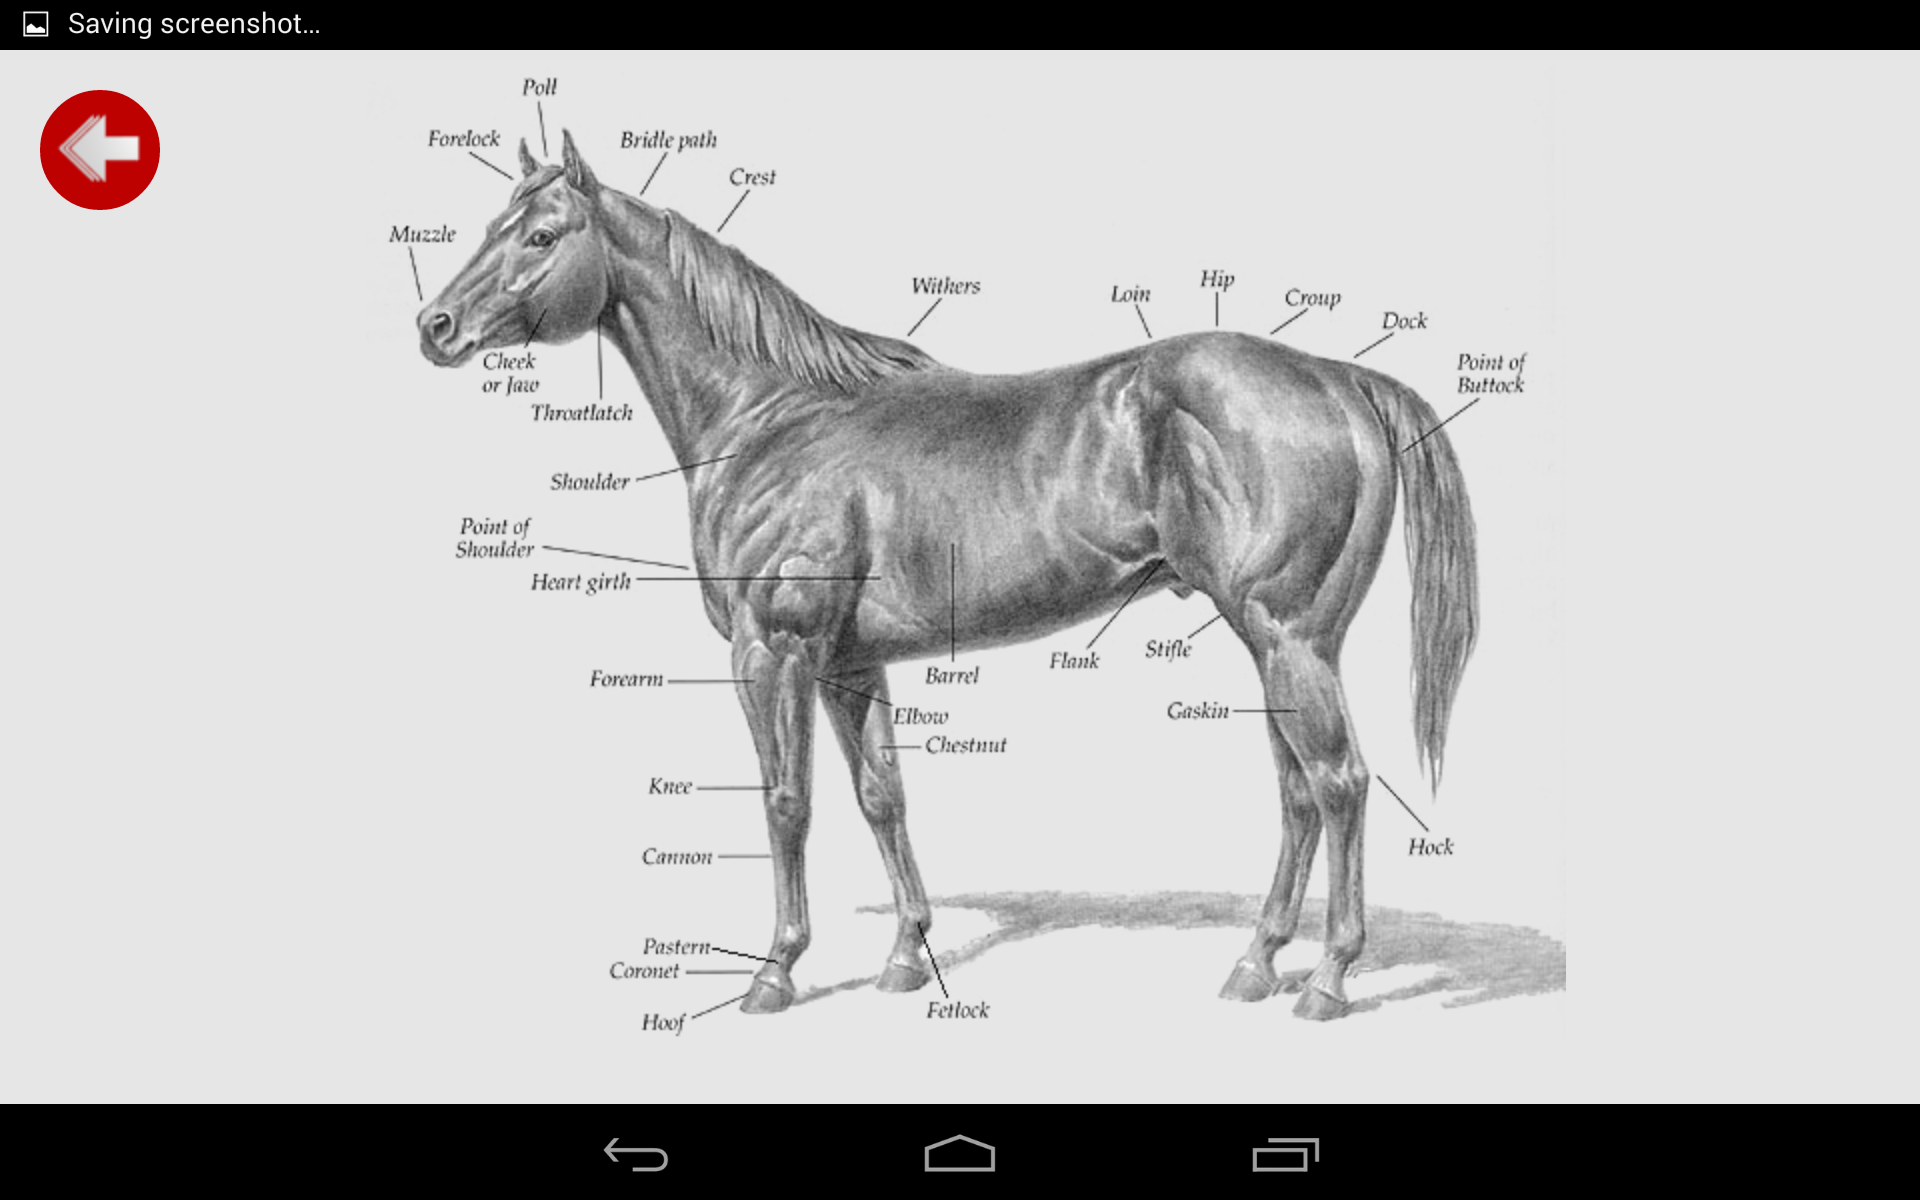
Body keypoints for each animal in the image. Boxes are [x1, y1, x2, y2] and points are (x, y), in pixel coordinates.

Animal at [417, 132, 1478, 1020]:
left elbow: (786, 802)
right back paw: (1255, 964)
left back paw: (1329, 981)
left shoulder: (775, 651)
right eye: (490, 224)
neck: (774, 418)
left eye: (541, 233)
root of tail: (1340, 380)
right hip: (1277, 650)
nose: (435, 325)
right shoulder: (850, 663)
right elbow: (881, 795)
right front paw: (902, 957)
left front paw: (774, 973)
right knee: (1297, 792)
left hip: (1288, 637)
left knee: (1338, 784)